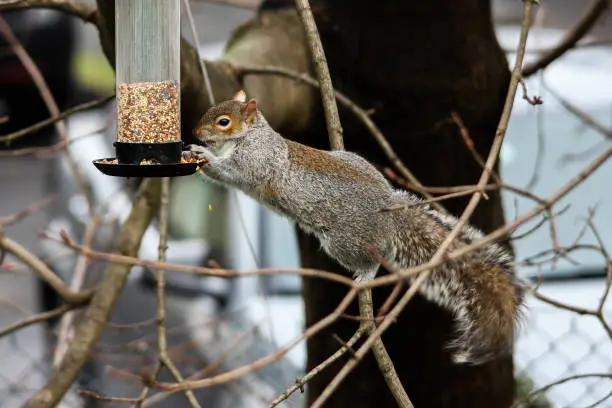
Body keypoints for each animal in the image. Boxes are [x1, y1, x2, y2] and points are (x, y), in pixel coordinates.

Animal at [186, 91, 524, 364]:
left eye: (224, 121)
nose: (195, 131)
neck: (250, 136)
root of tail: (387, 210)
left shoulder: (255, 160)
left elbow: (232, 171)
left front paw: (204, 155)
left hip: (342, 241)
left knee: (370, 259)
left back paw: (365, 276)